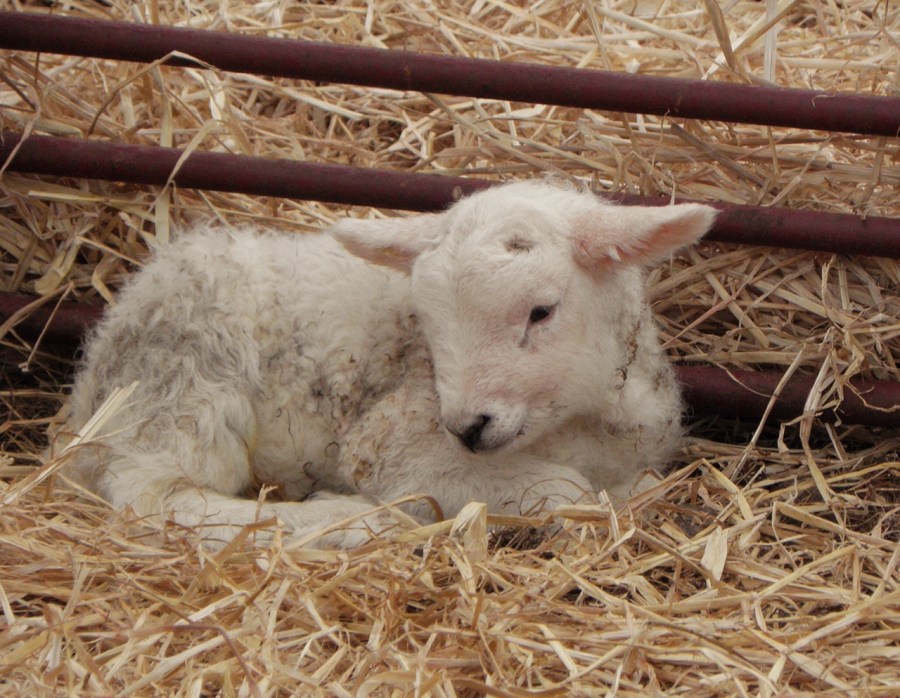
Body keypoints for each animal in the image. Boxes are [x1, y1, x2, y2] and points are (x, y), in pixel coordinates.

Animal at [55, 181, 717, 548]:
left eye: (541, 311)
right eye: (428, 322)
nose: (467, 427)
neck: (580, 419)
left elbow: (637, 489)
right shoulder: (392, 441)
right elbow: (565, 491)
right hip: (189, 369)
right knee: (154, 495)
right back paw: (350, 521)